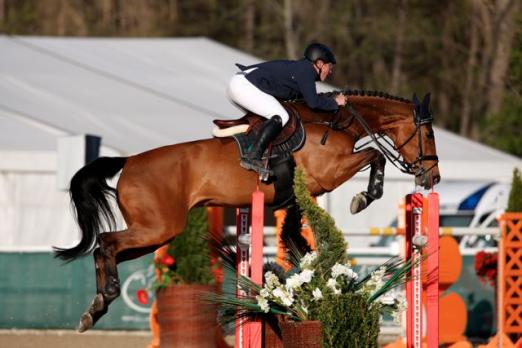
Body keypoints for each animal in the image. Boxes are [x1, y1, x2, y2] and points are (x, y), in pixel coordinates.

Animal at [53, 89, 438, 332]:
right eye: (430, 135)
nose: (432, 177)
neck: (335, 122)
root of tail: (129, 161)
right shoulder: (330, 173)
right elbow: (374, 155)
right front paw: (365, 197)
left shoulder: (304, 192)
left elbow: (294, 225)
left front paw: (303, 252)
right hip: (158, 227)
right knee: (105, 243)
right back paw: (104, 299)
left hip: (155, 233)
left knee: (107, 247)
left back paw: (95, 309)